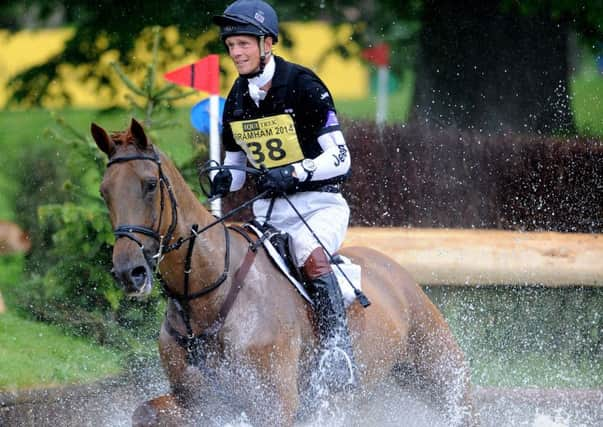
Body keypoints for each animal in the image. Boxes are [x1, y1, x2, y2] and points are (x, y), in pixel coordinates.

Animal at [91, 118, 476, 426]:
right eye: (104, 191)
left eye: (149, 184)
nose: (129, 272)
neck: (208, 295)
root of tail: (396, 271)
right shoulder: (199, 402)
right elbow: (146, 411)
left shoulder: (274, 405)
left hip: (439, 370)